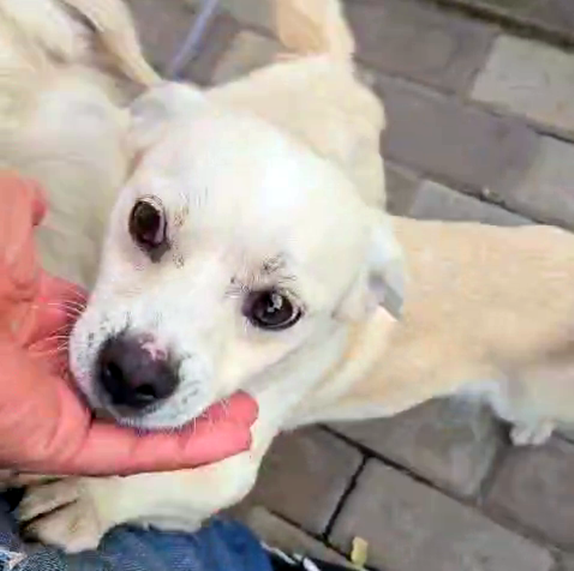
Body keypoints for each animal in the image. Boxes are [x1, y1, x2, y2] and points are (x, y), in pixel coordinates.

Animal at [3, 0, 574, 554]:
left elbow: (154, 481)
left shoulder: (227, 468)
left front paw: (82, 497)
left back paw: (531, 429)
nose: (133, 372)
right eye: (145, 220)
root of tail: (332, 66)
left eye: (275, 310)